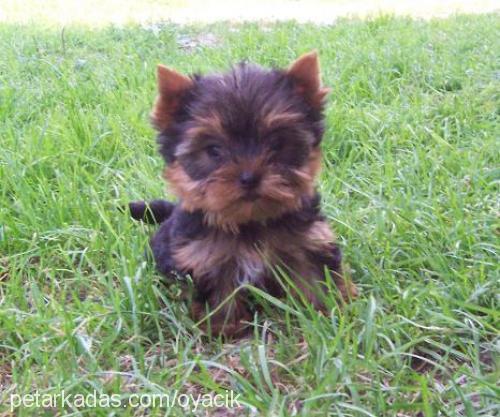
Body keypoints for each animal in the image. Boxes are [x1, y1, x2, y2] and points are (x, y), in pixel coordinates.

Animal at [129, 51, 356, 334]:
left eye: (277, 143)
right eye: (214, 150)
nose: (249, 178)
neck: (250, 221)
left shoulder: (309, 241)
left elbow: (314, 276)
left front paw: (326, 312)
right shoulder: (206, 257)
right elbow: (219, 291)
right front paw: (223, 327)